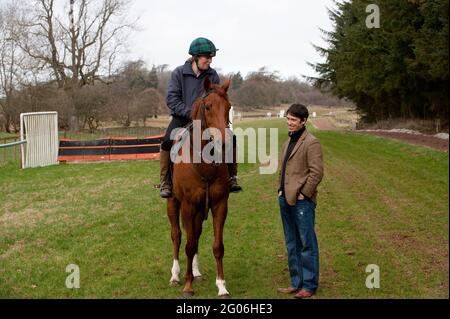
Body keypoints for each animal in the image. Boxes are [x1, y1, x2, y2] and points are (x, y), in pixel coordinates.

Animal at [168, 77, 234, 298]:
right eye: (208, 106)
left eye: (229, 107)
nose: (224, 142)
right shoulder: (188, 206)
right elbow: (188, 245)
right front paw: (188, 286)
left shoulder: (220, 204)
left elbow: (217, 246)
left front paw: (221, 285)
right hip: (173, 203)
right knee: (177, 236)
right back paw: (176, 275)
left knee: (195, 235)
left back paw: (195, 272)